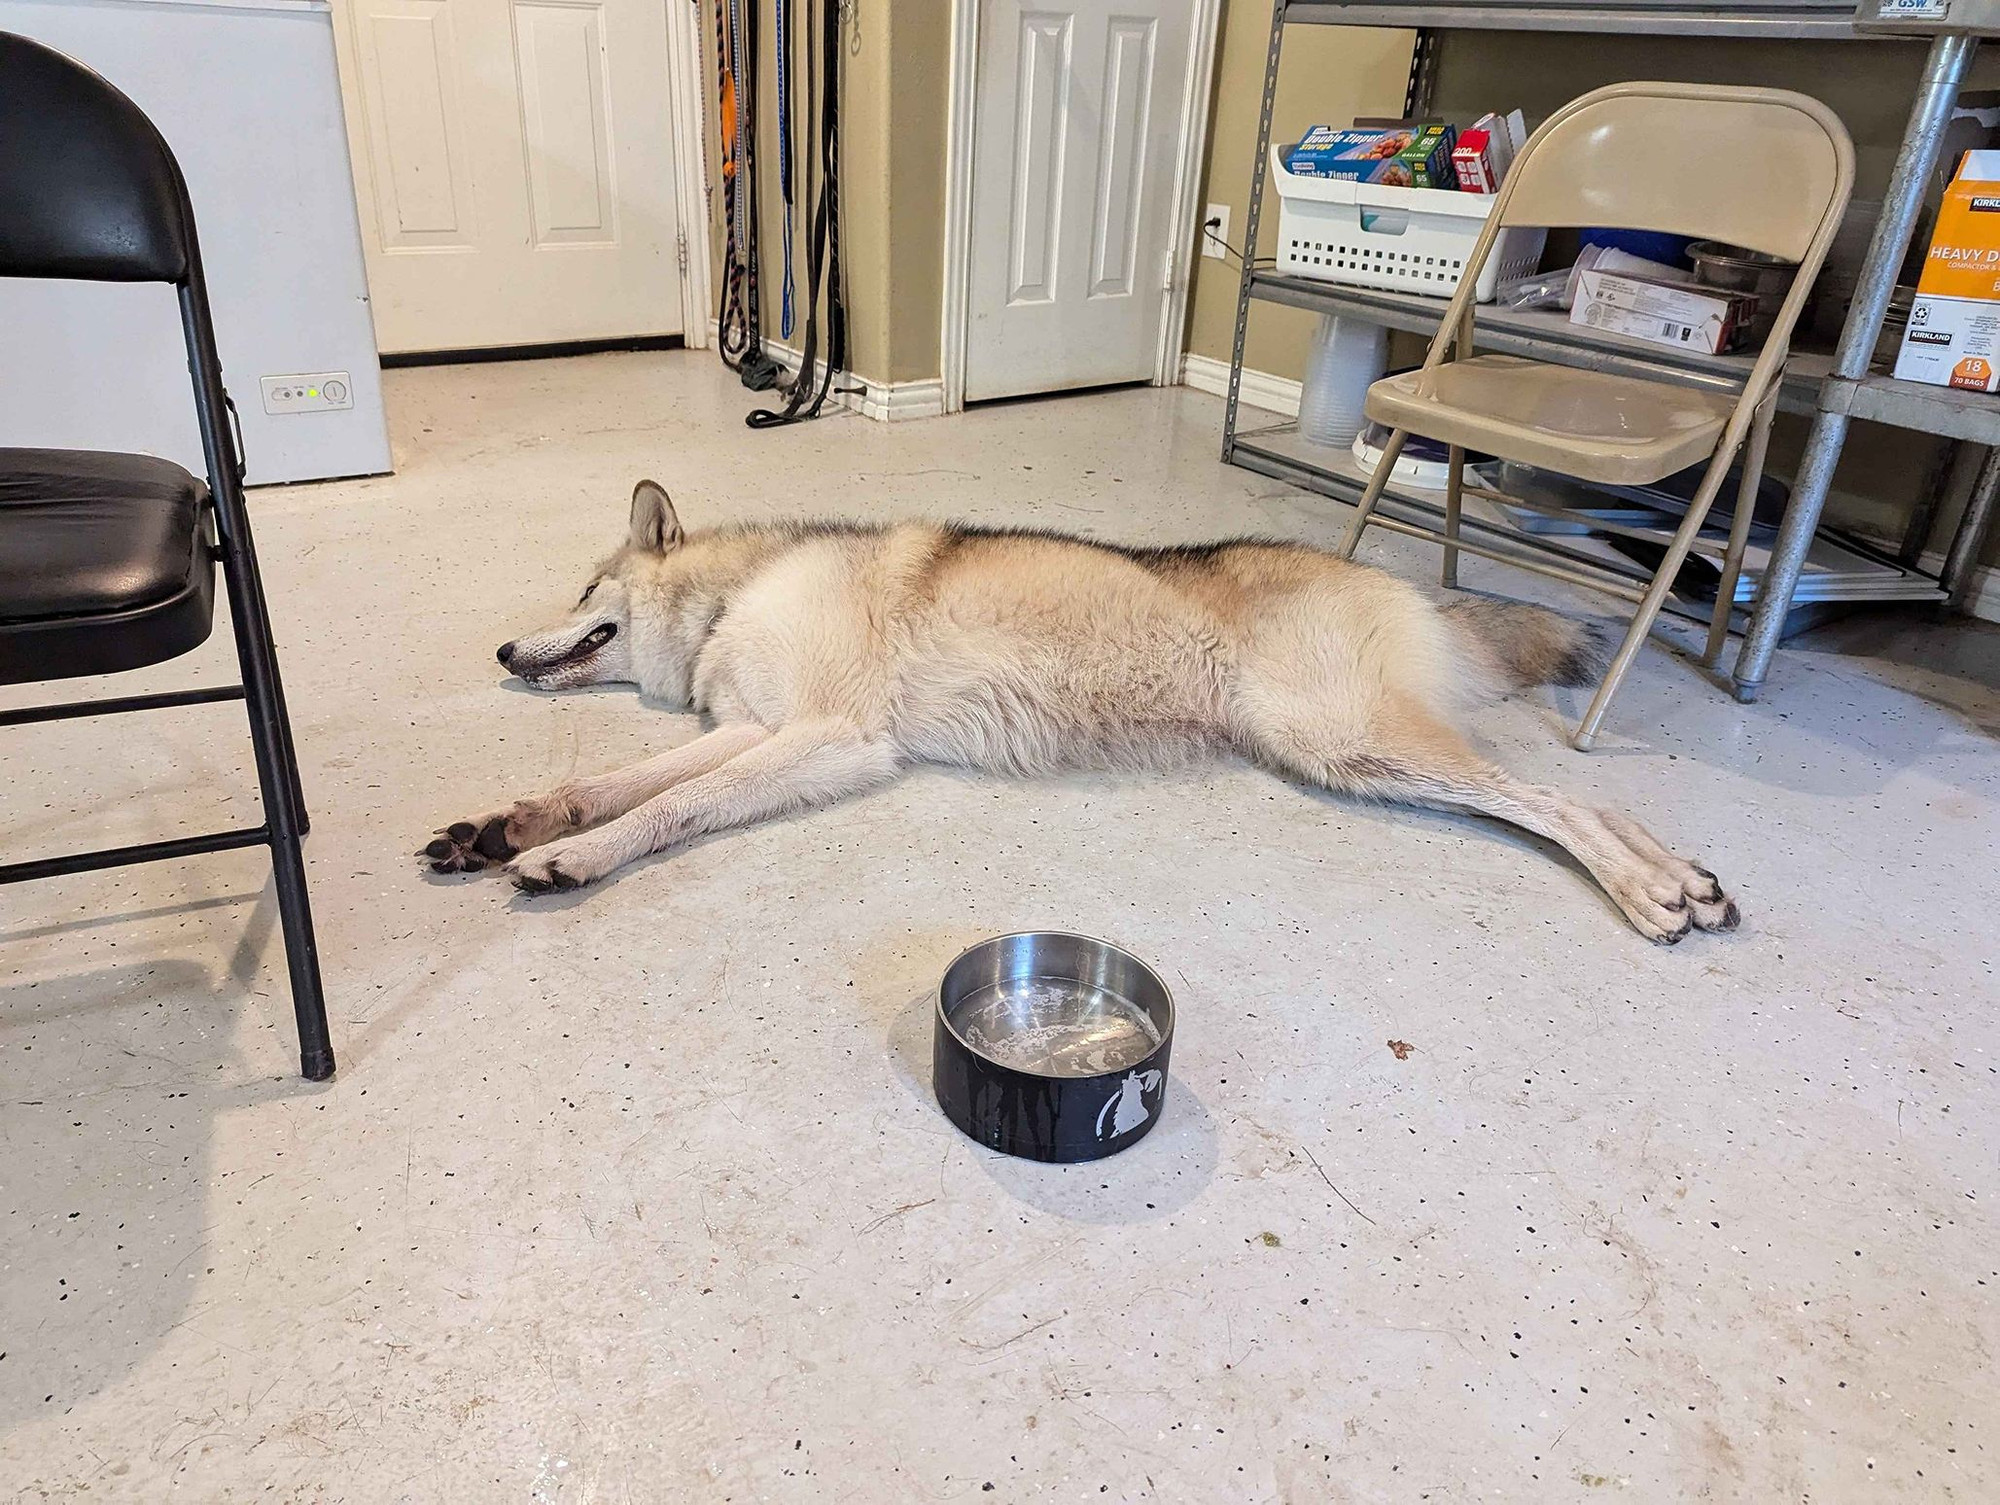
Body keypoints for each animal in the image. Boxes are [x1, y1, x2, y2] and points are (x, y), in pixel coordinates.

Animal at [430, 482, 1744, 944]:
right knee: (1564, 800)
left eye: (584, 591)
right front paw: (510, 824)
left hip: (1345, 743)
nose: (498, 647)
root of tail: (1398, 578)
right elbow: (616, 785)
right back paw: (1683, 878)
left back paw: (1653, 888)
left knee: (1562, 800)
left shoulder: (826, 741)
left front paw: (570, 857)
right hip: (1359, 753)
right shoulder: (760, 732)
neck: (733, 598)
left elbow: (665, 810)